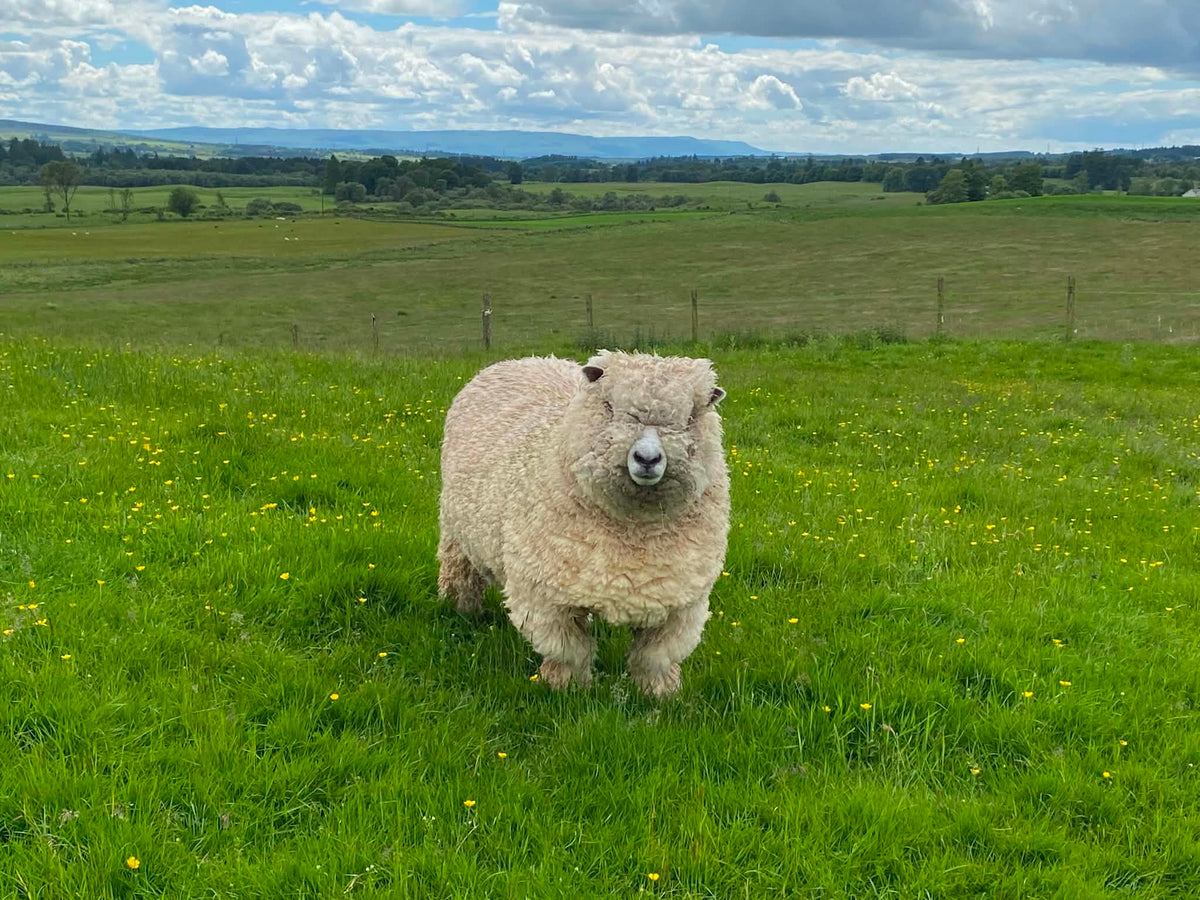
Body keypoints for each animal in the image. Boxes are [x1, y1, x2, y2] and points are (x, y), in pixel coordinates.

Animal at [437, 350, 730, 696]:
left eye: (690, 418)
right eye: (609, 407)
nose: (647, 459)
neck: (634, 530)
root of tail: (524, 359)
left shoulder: (681, 603)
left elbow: (654, 657)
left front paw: (660, 693)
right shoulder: (545, 596)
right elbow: (569, 651)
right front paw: (568, 689)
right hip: (455, 534)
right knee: (460, 575)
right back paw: (461, 610)